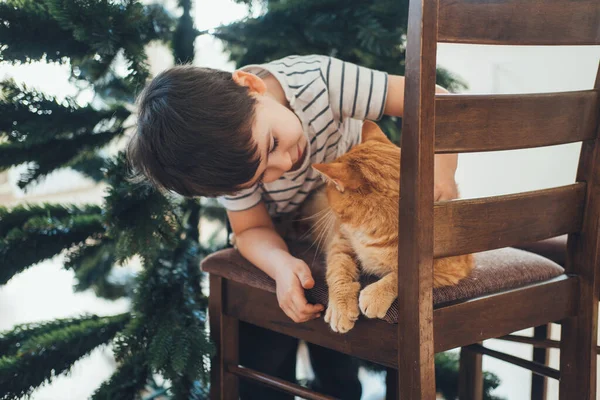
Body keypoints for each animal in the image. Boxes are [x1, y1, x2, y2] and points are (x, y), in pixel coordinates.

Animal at [308, 120, 476, 332]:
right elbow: (338, 270)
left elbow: (402, 276)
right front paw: (341, 308)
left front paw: (375, 295)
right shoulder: (341, 241)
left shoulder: (448, 264)